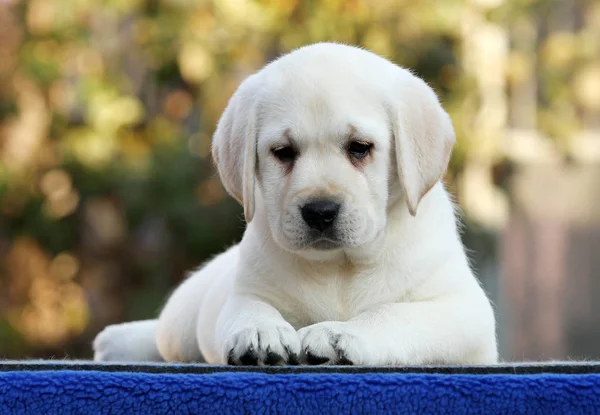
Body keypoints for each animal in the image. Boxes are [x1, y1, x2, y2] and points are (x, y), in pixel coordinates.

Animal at [94, 43, 496, 368]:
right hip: (185, 316)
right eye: (283, 152)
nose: (320, 211)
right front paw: (260, 333)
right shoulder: (244, 294)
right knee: (162, 338)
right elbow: (251, 310)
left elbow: (394, 314)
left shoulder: (464, 312)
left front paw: (338, 335)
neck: (340, 267)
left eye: (360, 148)